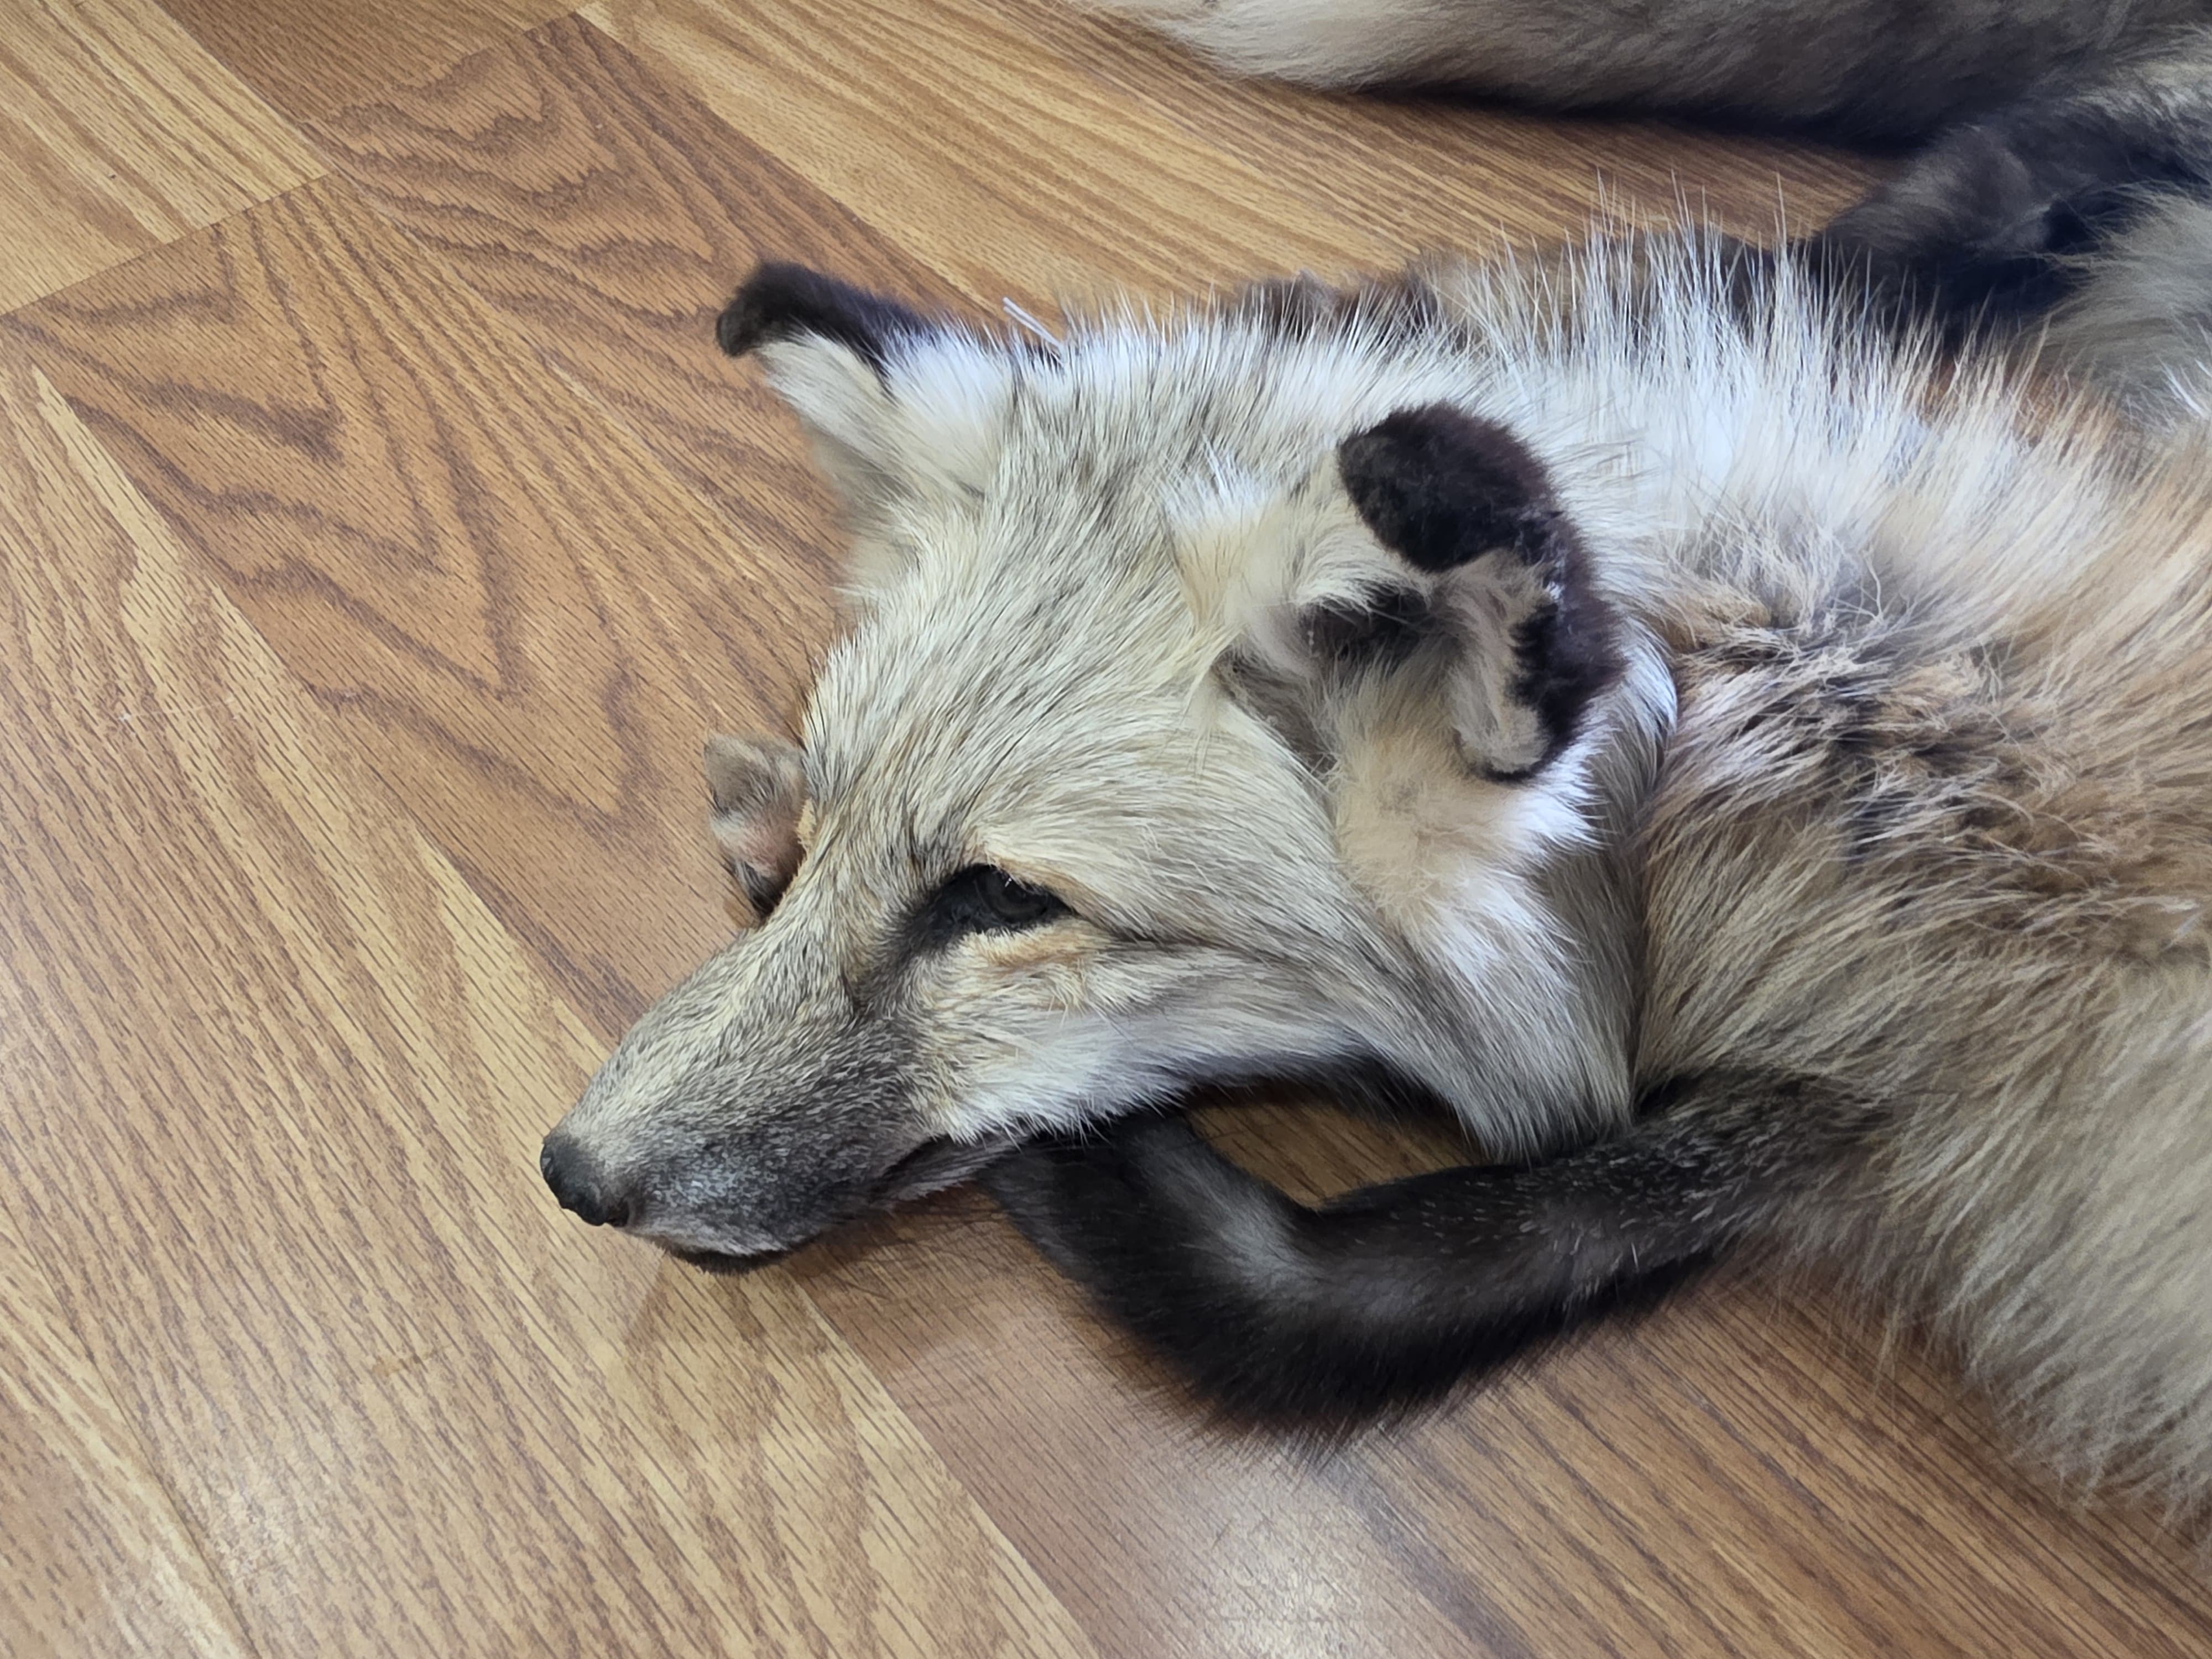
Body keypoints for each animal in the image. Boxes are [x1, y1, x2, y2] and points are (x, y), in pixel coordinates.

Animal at [540, 19, 2212, 1507]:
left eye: (1005, 901)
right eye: (842, 827)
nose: (571, 1172)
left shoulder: (1903, 1125)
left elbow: (1311, 1299)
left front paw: (1101, 1169)